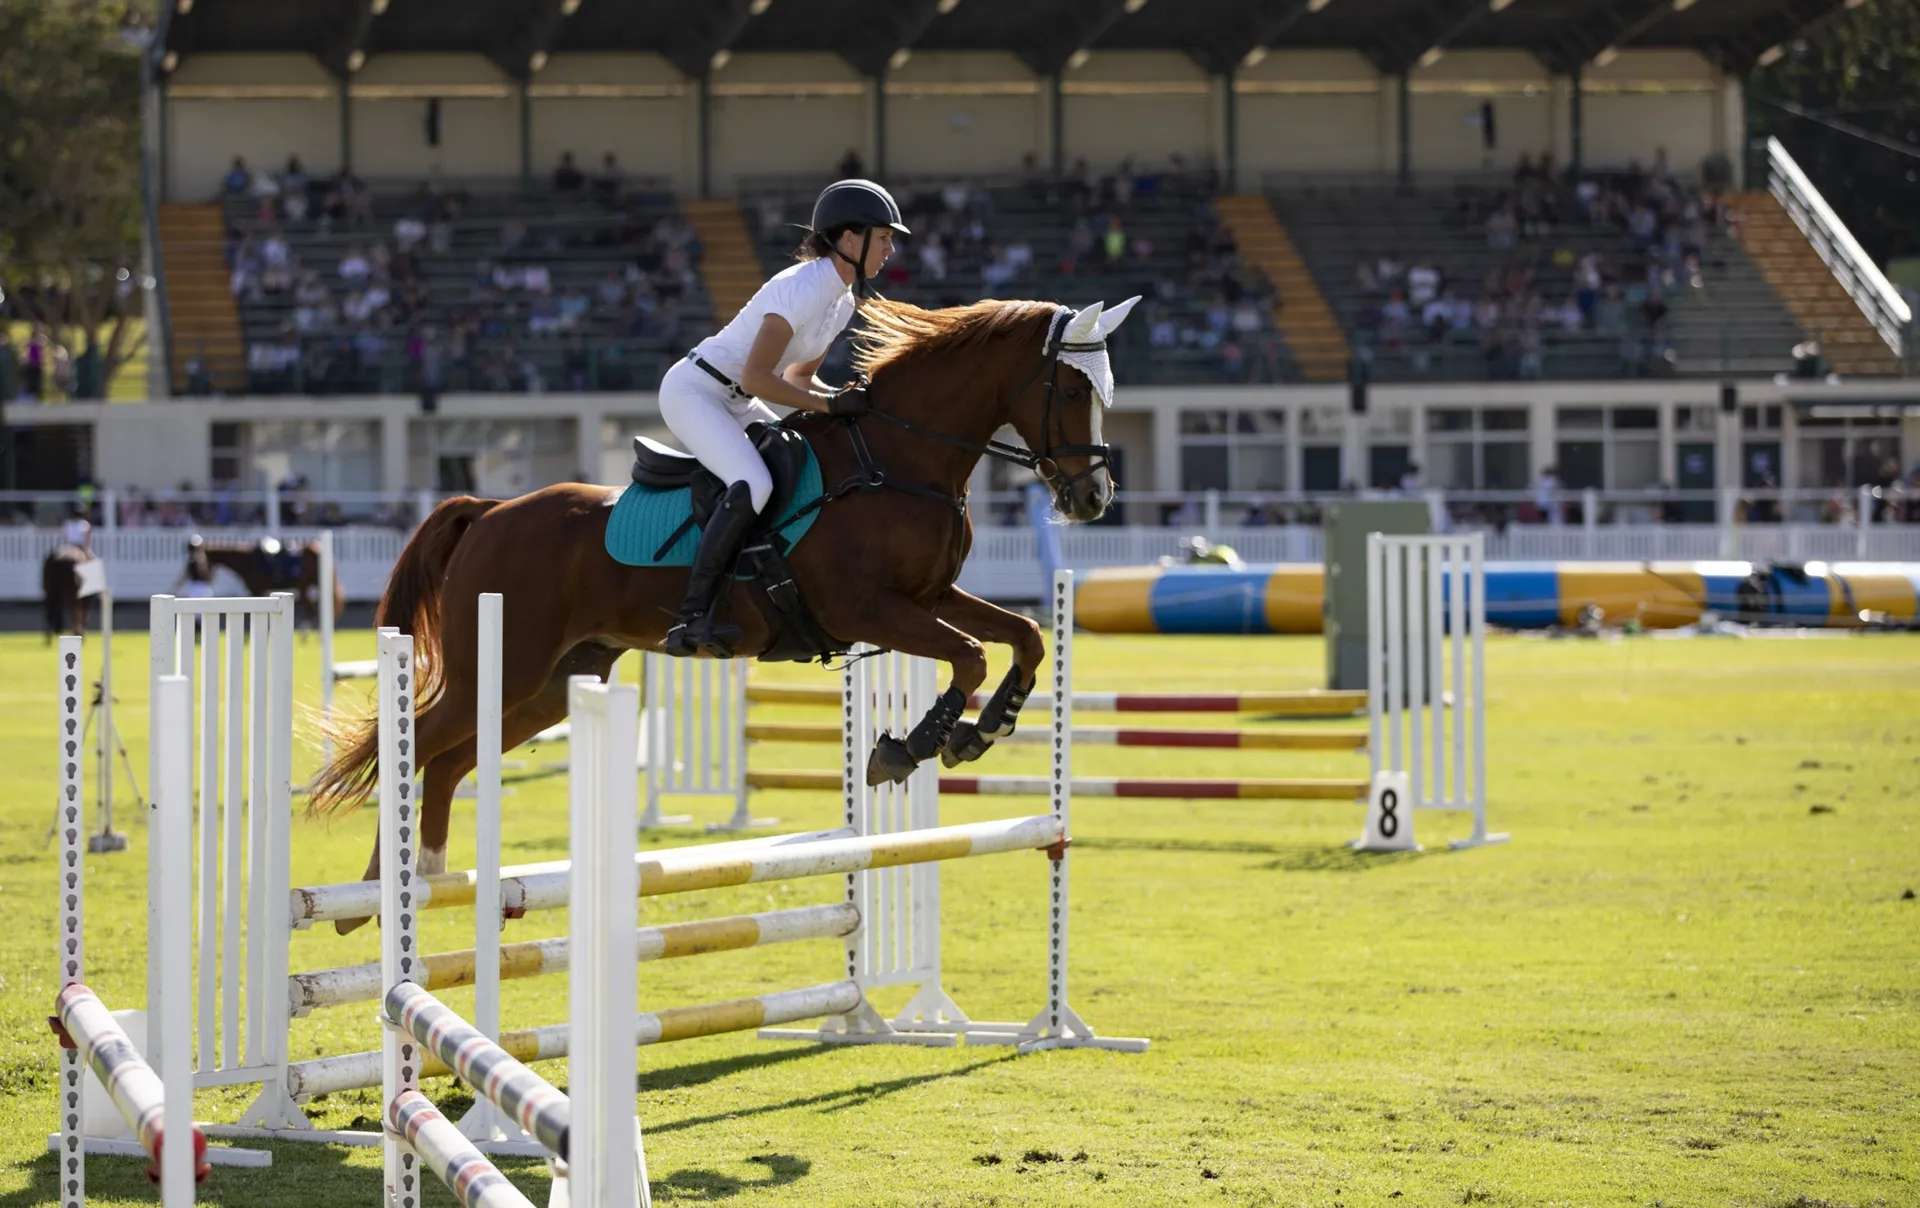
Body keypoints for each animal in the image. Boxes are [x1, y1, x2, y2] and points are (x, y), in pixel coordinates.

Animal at [305, 293, 1128, 933]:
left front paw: (985, 728)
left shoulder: (928, 600)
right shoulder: (869, 607)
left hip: (550, 684)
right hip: (504, 667)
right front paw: (916, 744)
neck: (897, 461)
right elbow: (970, 654)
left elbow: (1023, 636)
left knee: (447, 760)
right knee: (415, 742)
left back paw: (427, 878)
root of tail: (489, 511)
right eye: (1069, 388)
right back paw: (372, 893)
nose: (1093, 498)